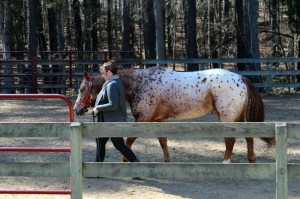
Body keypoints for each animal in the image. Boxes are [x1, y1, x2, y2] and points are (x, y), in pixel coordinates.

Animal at [72, 67, 274, 163]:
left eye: (82, 89)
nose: (77, 110)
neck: (140, 83)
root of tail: (241, 78)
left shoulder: (143, 119)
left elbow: (129, 140)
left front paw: (125, 159)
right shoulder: (158, 120)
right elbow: (163, 141)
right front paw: (167, 160)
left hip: (227, 118)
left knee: (230, 140)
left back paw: (226, 162)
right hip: (237, 117)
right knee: (248, 137)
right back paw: (251, 159)